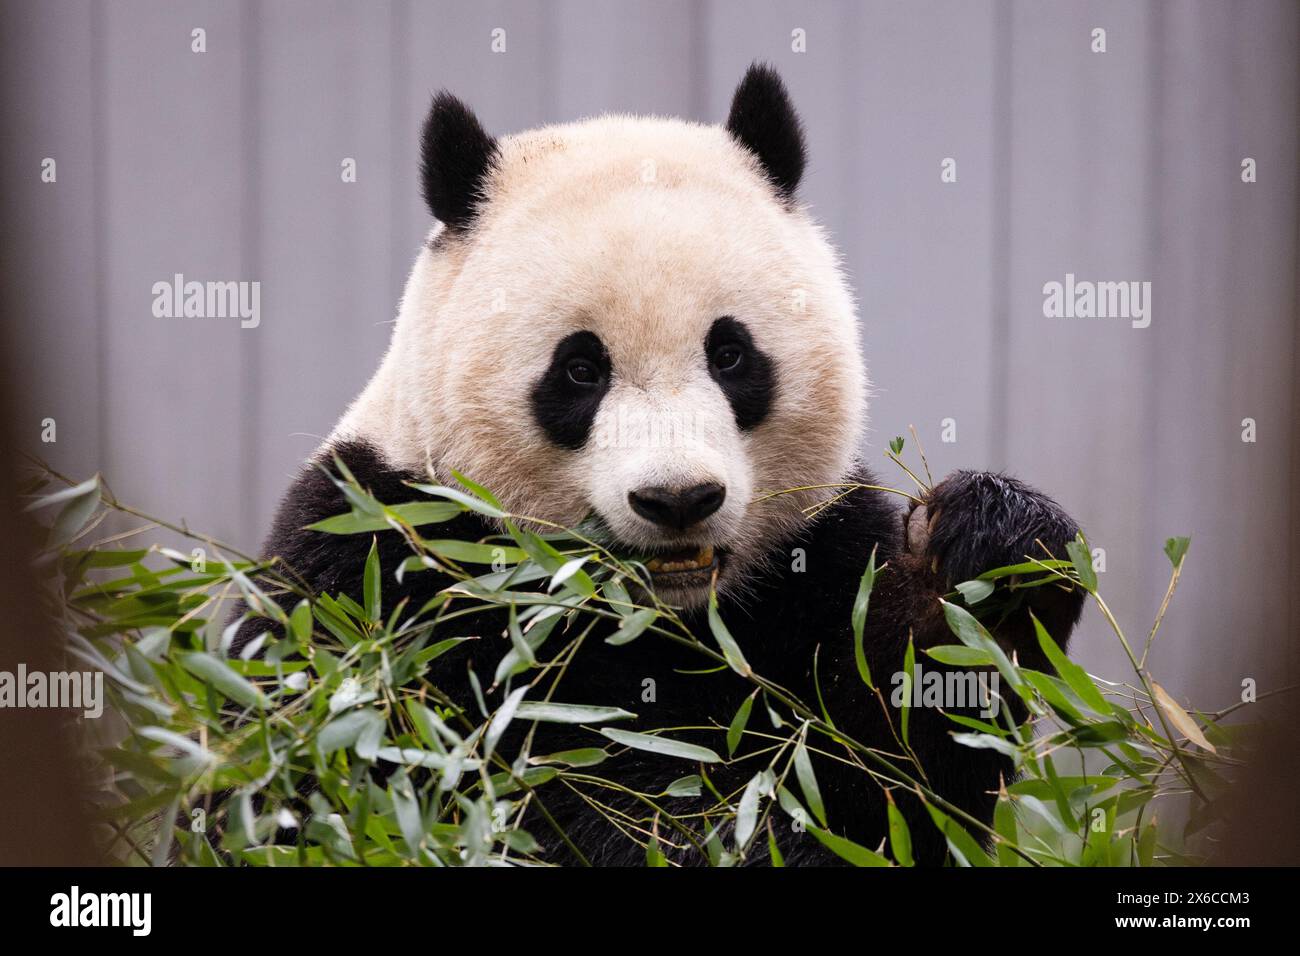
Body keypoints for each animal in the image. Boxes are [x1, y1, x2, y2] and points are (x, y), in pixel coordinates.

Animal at [236, 61, 1086, 868]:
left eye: (730, 354)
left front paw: (989, 546)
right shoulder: (381, 570)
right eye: (580, 370)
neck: (657, 614)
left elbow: (905, 767)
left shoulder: (818, 553)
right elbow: (499, 787)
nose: (679, 499)